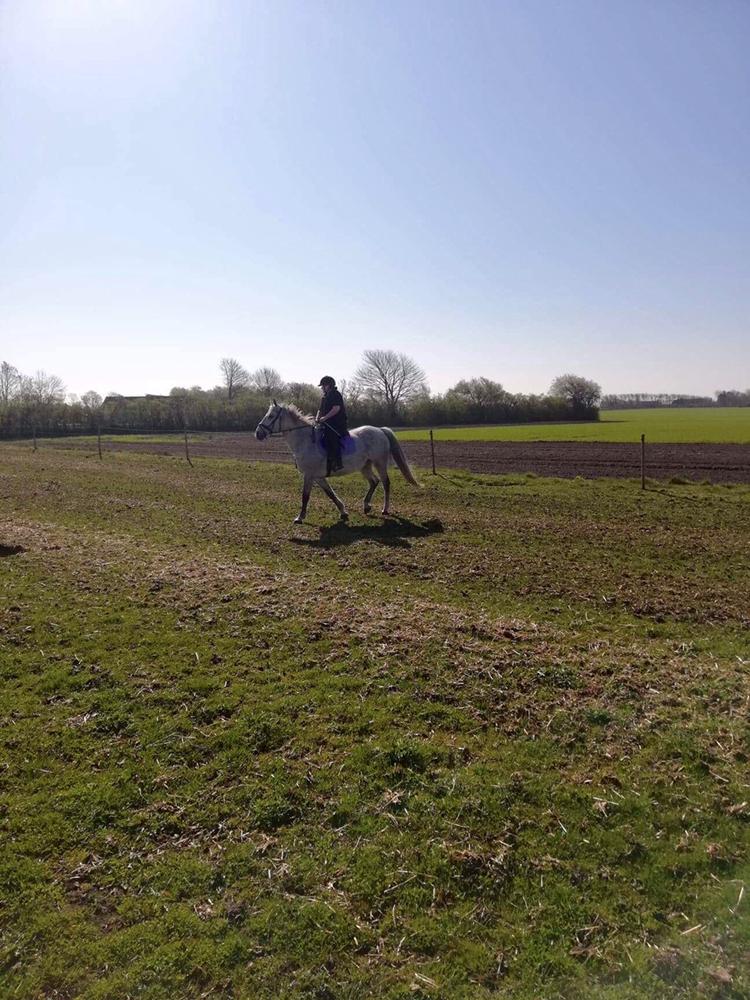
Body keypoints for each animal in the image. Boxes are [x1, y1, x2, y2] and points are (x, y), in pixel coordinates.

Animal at [256, 400, 420, 524]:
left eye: (271, 416)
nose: (258, 433)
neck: (305, 441)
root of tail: (380, 430)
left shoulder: (309, 475)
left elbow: (305, 496)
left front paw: (300, 518)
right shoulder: (318, 477)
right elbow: (330, 494)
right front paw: (343, 512)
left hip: (379, 463)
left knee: (385, 483)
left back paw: (385, 509)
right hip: (364, 466)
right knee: (374, 482)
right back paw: (366, 506)